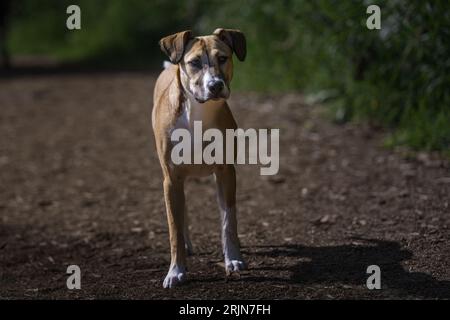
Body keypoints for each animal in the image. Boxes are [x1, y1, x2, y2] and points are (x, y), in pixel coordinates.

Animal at [153, 28, 248, 288]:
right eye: (194, 62)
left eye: (223, 58)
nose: (215, 85)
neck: (198, 113)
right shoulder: (172, 178)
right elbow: (174, 228)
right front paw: (175, 271)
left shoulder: (226, 172)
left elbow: (229, 221)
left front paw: (233, 260)